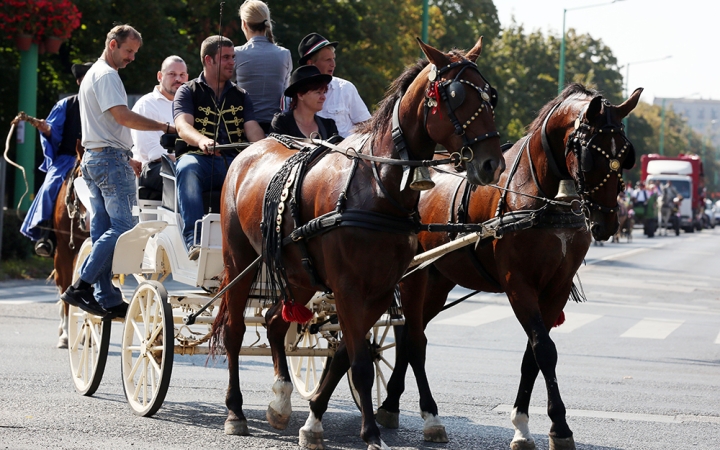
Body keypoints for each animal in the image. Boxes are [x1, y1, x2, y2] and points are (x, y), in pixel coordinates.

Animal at [210, 37, 506, 448]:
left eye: (490, 94)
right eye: (455, 94)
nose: (492, 164)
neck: (378, 187)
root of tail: (249, 151)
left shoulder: (391, 285)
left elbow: (372, 351)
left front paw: (318, 419)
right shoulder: (348, 287)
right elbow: (361, 362)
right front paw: (371, 433)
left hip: (300, 276)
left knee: (273, 322)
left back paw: (281, 400)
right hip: (238, 259)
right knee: (235, 330)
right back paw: (235, 411)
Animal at [374, 85, 644, 450]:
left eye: (626, 155)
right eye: (590, 154)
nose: (607, 223)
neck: (541, 195)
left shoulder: (555, 288)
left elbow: (533, 355)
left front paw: (523, 425)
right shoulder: (519, 285)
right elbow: (544, 350)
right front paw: (559, 426)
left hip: (439, 280)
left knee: (410, 334)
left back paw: (390, 403)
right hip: (413, 278)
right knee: (413, 337)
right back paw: (423, 414)